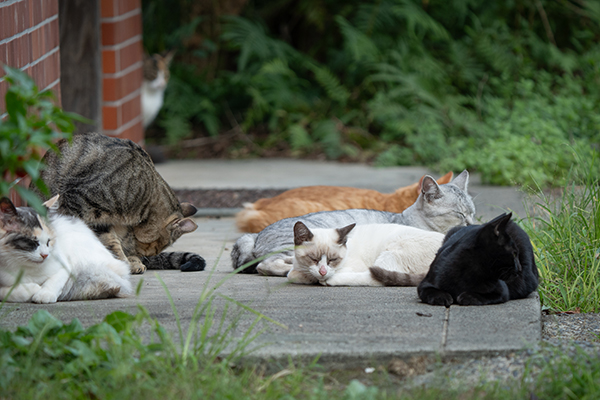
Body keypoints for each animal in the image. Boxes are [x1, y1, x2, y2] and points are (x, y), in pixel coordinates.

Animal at [0, 195, 132, 304]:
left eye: (48, 241)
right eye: (33, 242)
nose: (45, 255)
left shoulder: (65, 265)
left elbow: (54, 281)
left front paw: (44, 294)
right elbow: (8, 292)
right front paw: (31, 289)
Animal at [33, 133, 206, 274]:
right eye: (157, 246)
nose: (145, 255)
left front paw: (129, 261)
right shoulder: (81, 203)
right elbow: (110, 241)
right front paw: (122, 262)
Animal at [290, 220, 446, 286]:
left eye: (332, 260)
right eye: (313, 258)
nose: (322, 272)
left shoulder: (356, 266)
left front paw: (323, 278)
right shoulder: (296, 268)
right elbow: (292, 275)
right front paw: (310, 277)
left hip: (390, 251)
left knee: (374, 278)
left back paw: (330, 281)